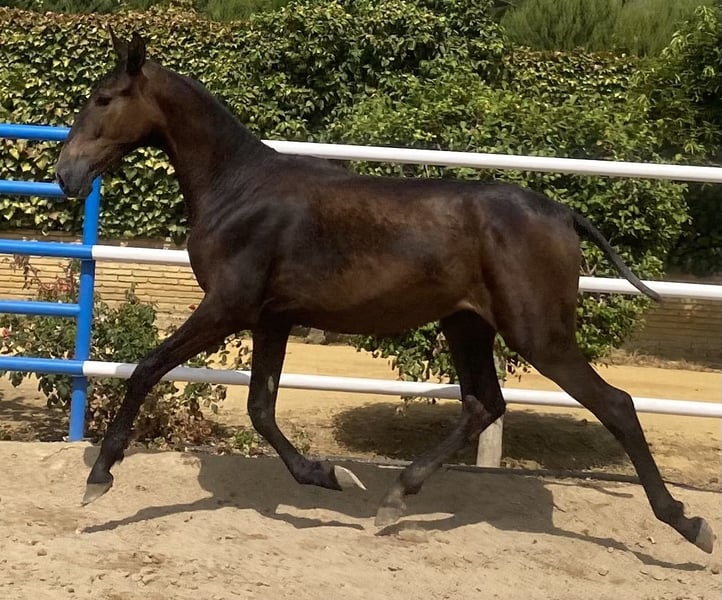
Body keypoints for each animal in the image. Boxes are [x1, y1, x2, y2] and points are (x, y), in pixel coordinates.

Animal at [55, 30, 713, 553]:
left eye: (104, 99)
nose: (66, 174)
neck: (239, 189)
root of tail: (563, 213)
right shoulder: (273, 318)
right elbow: (261, 408)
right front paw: (330, 476)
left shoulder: (227, 308)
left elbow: (147, 369)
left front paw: (99, 479)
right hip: (467, 324)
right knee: (485, 403)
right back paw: (395, 497)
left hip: (538, 336)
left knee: (615, 405)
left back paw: (688, 524)